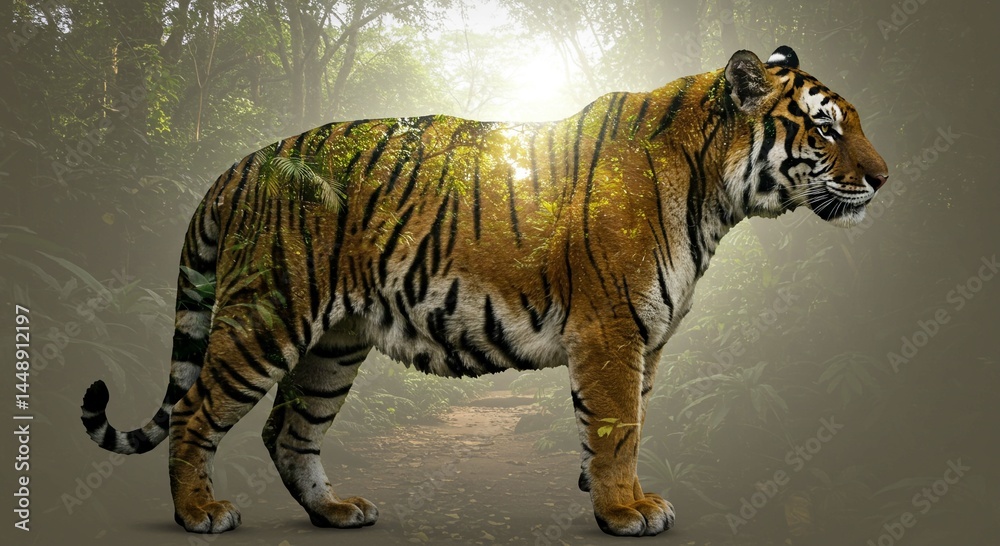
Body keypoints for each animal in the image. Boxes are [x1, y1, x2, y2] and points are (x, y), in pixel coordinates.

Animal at [80, 46, 887, 537]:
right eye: (824, 130)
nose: (884, 178)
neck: (715, 192)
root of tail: (240, 165)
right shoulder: (613, 329)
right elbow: (619, 427)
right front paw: (624, 512)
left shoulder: (647, 338)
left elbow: (625, 424)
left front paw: (613, 497)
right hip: (267, 317)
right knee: (195, 413)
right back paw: (200, 513)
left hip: (333, 346)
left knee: (289, 430)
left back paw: (335, 509)